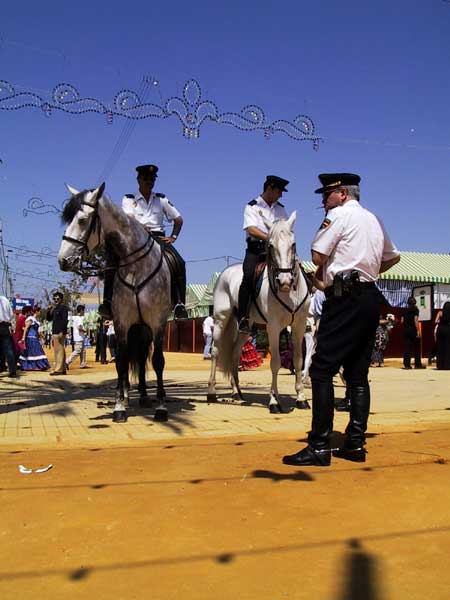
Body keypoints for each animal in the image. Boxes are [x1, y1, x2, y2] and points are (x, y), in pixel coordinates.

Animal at [57, 183, 172, 422]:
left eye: (82, 220)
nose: (63, 260)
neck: (137, 267)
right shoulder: (121, 323)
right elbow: (120, 361)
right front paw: (119, 406)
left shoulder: (157, 323)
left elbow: (158, 361)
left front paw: (161, 407)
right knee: (130, 357)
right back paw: (128, 396)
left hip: (144, 329)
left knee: (142, 357)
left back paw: (145, 397)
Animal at [207, 211, 310, 412]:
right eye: (270, 246)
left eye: (293, 244)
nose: (284, 281)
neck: (290, 294)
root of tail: (225, 273)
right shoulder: (274, 327)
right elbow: (275, 362)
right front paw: (274, 401)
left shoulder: (299, 326)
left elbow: (298, 360)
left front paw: (301, 398)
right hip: (221, 320)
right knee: (215, 351)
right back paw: (212, 392)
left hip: (245, 327)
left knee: (234, 354)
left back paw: (236, 392)